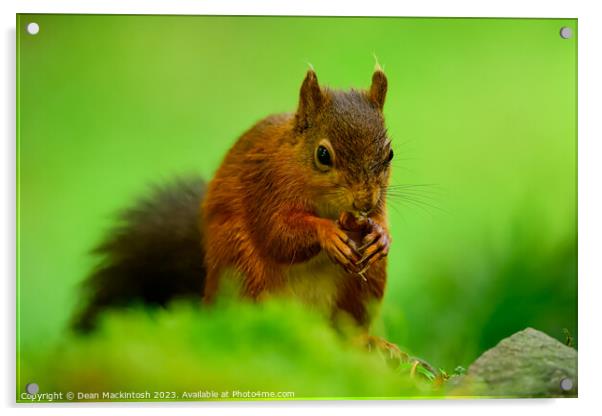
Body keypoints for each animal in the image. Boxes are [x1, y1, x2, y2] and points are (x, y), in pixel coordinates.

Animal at [74, 68, 398, 358]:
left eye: (390, 154)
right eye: (323, 155)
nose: (364, 201)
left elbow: (378, 221)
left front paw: (381, 236)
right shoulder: (266, 188)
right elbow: (278, 235)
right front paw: (328, 233)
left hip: (363, 285)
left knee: (343, 330)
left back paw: (368, 342)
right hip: (242, 265)